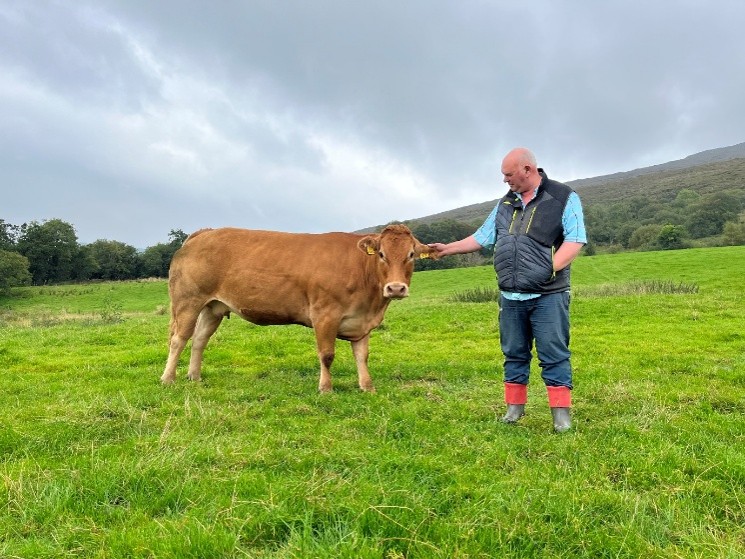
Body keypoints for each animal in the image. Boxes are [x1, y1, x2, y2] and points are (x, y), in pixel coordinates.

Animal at [161, 224, 437, 392]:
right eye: (381, 254)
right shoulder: (325, 314)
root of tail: (204, 233)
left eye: (411, 254)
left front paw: (367, 387)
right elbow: (327, 355)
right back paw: (168, 378)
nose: (396, 288)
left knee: (199, 340)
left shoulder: (362, 322)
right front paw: (326, 388)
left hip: (213, 307)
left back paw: (194, 376)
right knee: (178, 339)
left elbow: (362, 355)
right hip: (188, 301)